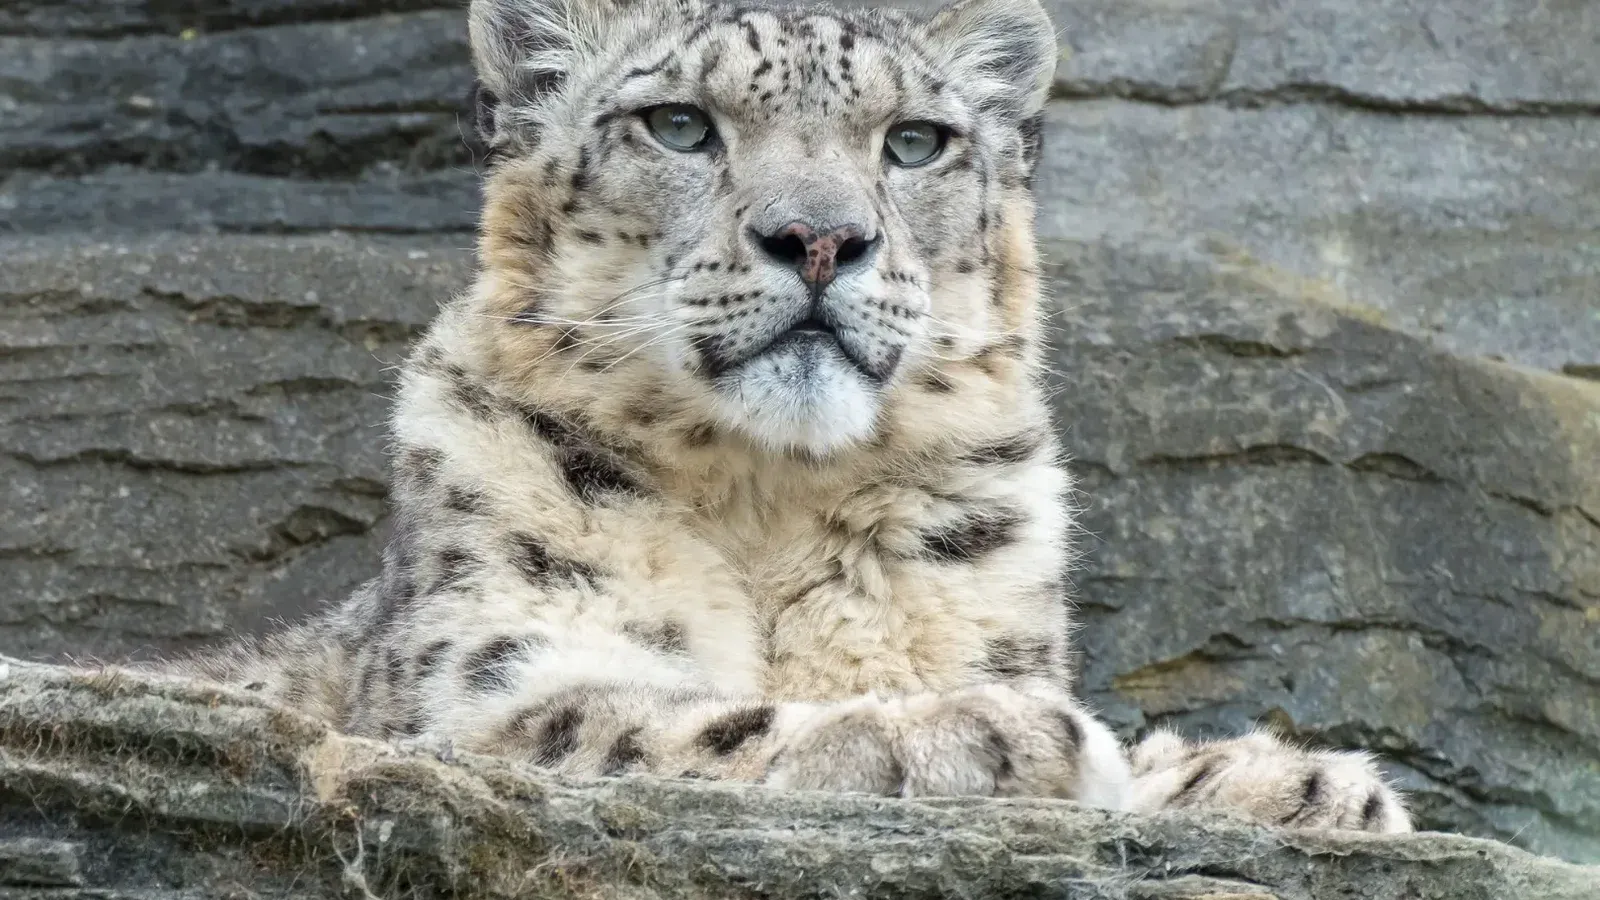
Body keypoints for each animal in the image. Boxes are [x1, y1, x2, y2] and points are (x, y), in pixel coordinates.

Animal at [138, 0, 1412, 834]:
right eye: (678, 124)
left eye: (915, 141)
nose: (818, 238)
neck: (771, 496)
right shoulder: (483, 684)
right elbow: (665, 720)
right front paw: (980, 733)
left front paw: (1293, 784)